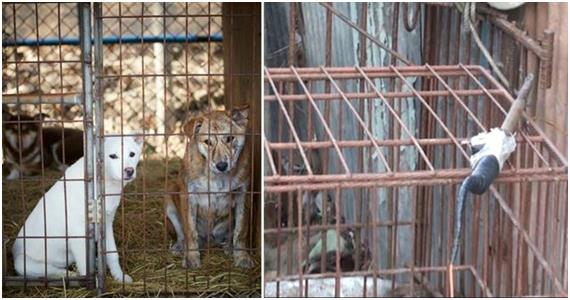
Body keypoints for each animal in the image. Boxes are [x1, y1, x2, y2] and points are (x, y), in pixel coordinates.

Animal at [12, 135, 143, 282]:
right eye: (113, 156)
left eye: (132, 154)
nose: (129, 171)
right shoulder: (78, 231)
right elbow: (84, 263)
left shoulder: (106, 222)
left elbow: (112, 253)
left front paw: (119, 277)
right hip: (22, 263)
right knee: (54, 272)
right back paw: (72, 275)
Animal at [164, 104, 253, 268]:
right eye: (207, 142)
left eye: (229, 138)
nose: (222, 165)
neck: (218, 177)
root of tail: (210, 241)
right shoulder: (189, 196)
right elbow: (190, 231)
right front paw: (191, 258)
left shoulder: (243, 195)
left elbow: (240, 231)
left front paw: (242, 257)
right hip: (169, 195)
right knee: (182, 234)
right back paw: (180, 246)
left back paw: (229, 246)